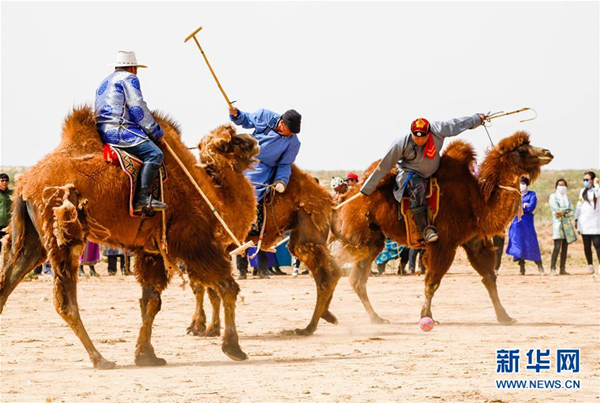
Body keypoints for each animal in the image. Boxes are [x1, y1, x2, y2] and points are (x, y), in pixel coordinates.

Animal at [0, 106, 258, 370]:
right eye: (236, 141)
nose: (255, 142)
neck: (211, 198)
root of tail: (24, 186)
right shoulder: (194, 241)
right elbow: (228, 287)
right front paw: (234, 348)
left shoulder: (151, 251)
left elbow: (151, 301)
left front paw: (146, 355)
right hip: (64, 235)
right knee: (65, 303)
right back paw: (100, 359)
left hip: (30, 239)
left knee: (5, 284)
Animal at [188, 164, 344, 338]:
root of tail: (329, 202)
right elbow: (200, 286)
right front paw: (198, 327)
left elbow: (209, 288)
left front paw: (209, 329)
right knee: (328, 273)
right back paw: (326, 316)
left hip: (309, 234)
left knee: (328, 275)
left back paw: (309, 328)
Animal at [332, 133, 552, 326]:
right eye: (522, 150)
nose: (548, 152)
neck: (476, 201)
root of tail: (346, 196)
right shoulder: (444, 243)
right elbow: (432, 282)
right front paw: (425, 316)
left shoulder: (474, 241)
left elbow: (489, 278)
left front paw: (505, 317)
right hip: (357, 235)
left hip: (372, 239)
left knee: (356, 279)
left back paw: (376, 318)